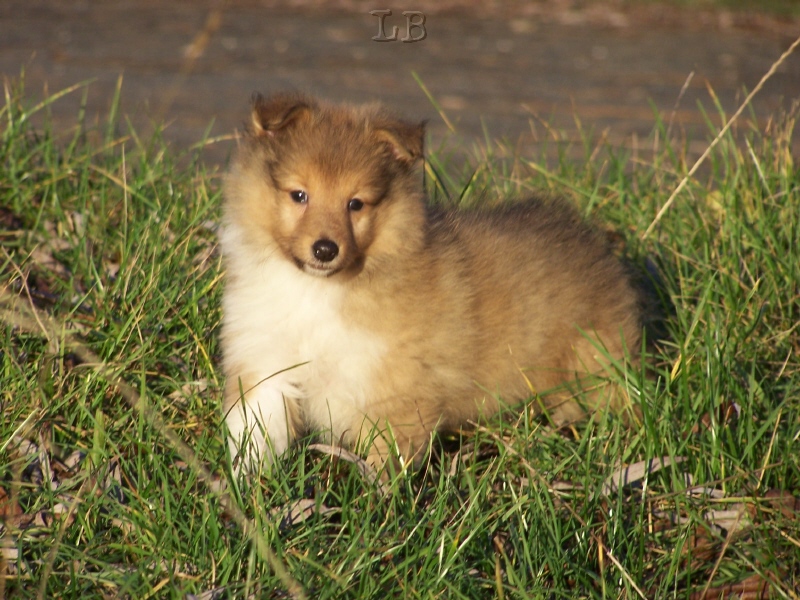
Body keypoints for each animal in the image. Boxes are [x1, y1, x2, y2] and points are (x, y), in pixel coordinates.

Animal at [220, 92, 644, 478]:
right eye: (299, 195)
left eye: (356, 204)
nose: (325, 249)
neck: (320, 290)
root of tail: (593, 242)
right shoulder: (266, 358)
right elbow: (256, 427)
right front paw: (248, 487)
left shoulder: (396, 389)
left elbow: (386, 459)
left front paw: (375, 502)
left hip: (591, 366)